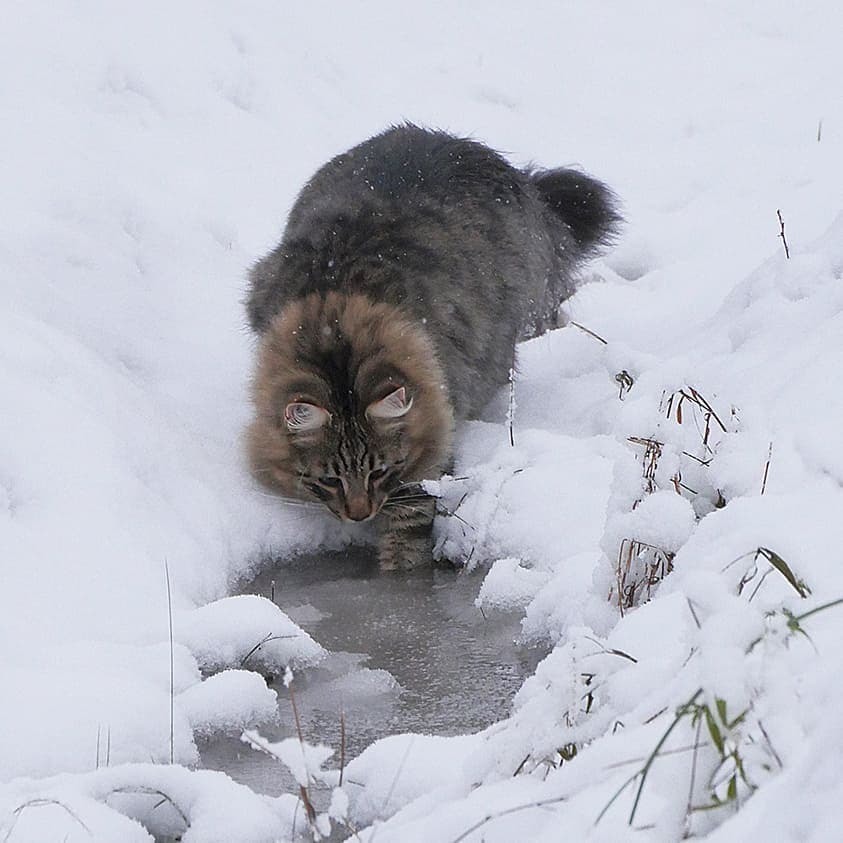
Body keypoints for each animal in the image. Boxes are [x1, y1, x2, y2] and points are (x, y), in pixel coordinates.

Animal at [244, 123, 620, 572]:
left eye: (380, 472)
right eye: (330, 479)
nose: (360, 514)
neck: (334, 321)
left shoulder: (437, 418)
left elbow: (411, 515)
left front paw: (400, 567)